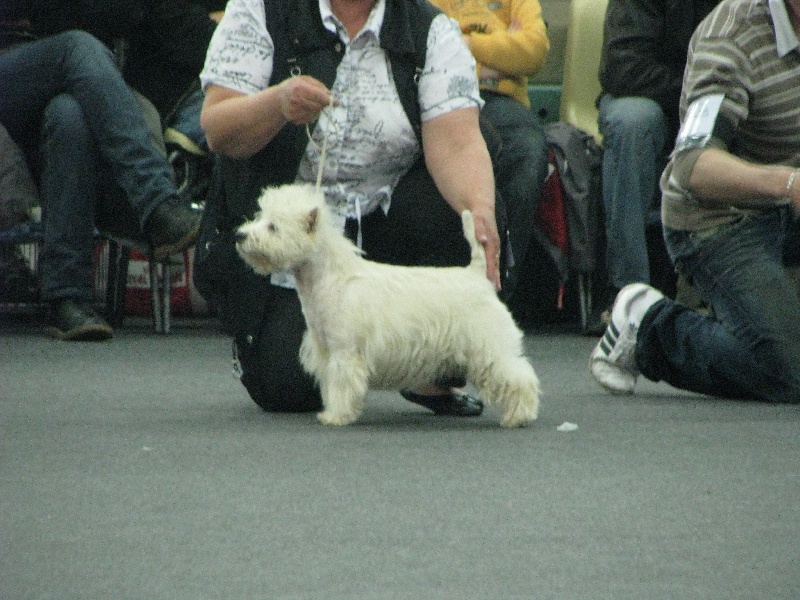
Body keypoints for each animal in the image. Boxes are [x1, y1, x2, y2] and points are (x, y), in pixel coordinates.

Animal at [234, 183, 540, 426]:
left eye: (273, 226)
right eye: (260, 217)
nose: (240, 236)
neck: (328, 278)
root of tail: (476, 275)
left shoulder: (345, 352)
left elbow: (342, 383)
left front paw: (336, 416)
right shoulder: (325, 349)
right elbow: (330, 382)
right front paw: (332, 410)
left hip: (489, 344)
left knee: (519, 376)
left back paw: (519, 417)